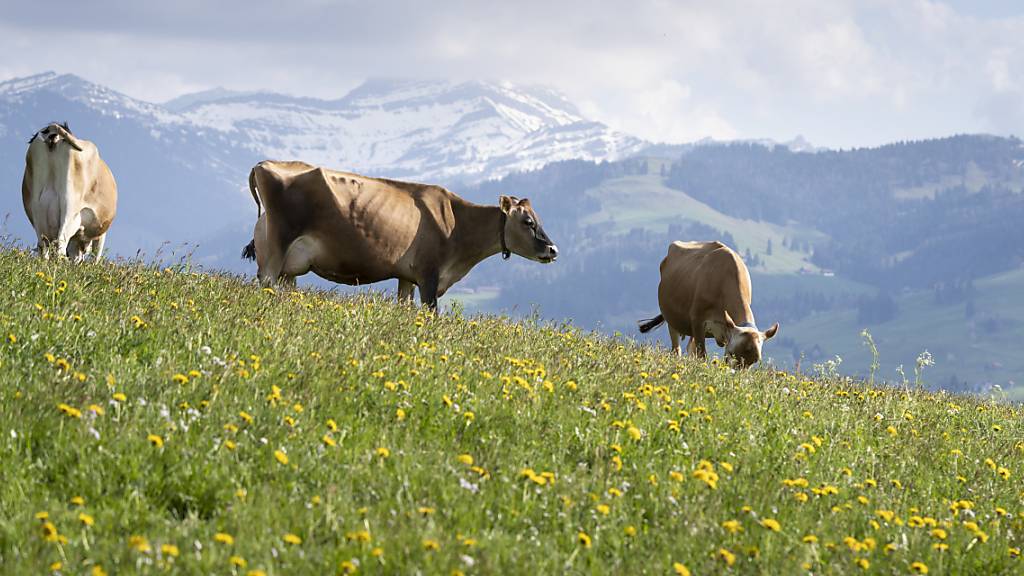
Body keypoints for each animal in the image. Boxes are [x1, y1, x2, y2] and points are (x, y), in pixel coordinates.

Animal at [21, 121, 117, 259]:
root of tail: (52, 132)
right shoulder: (101, 232)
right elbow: (96, 255)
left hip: (37, 209)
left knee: (43, 246)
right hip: (70, 206)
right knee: (60, 243)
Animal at [240, 158, 561, 307]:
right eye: (528, 222)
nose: (553, 249)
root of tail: (263, 165)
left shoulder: (407, 277)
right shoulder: (429, 275)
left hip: (289, 268)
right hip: (276, 250)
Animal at [634, 239, 778, 364]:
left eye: (755, 361)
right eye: (732, 353)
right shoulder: (697, 321)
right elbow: (702, 355)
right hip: (672, 318)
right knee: (676, 349)